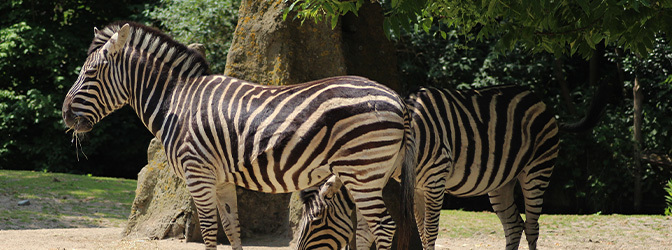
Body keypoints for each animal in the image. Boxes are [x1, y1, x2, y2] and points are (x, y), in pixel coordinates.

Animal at [61, 21, 414, 250]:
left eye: (89, 73)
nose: (65, 114)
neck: (177, 102)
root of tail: (397, 98)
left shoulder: (198, 174)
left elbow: (208, 232)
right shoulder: (221, 179)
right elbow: (232, 230)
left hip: (362, 171)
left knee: (383, 227)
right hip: (374, 174)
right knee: (369, 229)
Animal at [296, 85, 564, 249]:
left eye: (316, 221)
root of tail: (534, 95)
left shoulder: (436, 181)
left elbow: (430, 231)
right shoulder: (416, 188)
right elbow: (372, 233)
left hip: (537, 169)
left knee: (531, 226)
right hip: (501, 182)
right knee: (513, 225)